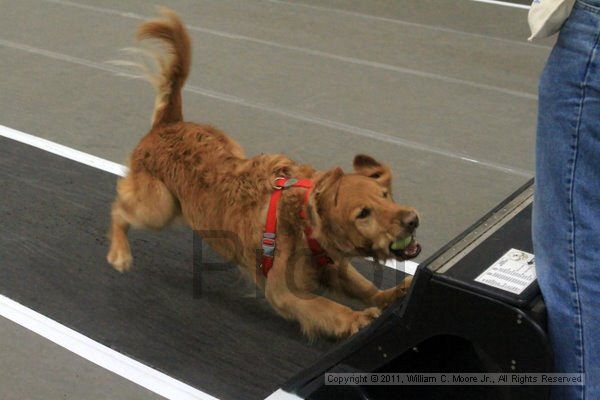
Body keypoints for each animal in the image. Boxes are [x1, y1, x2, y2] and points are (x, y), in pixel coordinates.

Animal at [105, 8, 420, 338]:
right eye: (363, 213)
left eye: (385, 195)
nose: (412, 220)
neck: (303, 223)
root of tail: (168, 125)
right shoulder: (283, 291)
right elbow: (328, 308)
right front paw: (356, 319)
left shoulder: (333, 266)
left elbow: (365, 286)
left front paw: (390, 294)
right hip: (159, 208)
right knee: (119, 209)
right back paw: (119, 253)